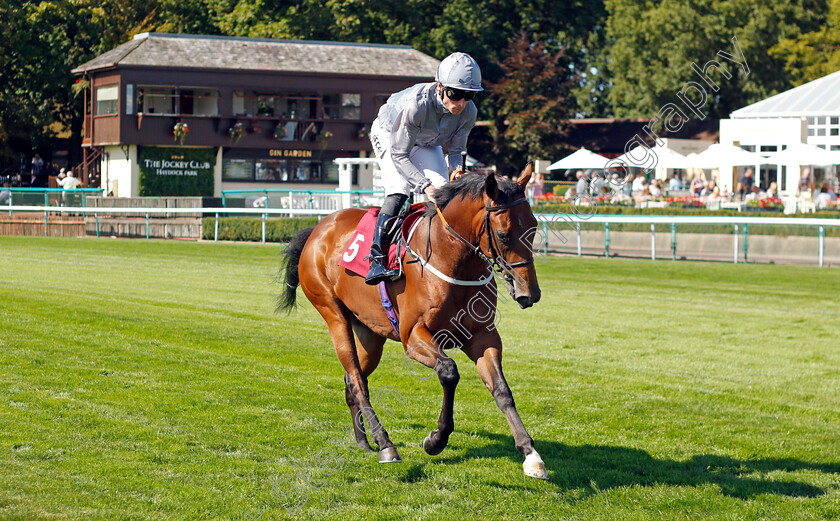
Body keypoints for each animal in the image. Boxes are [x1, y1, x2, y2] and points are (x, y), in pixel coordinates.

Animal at [278, 165, 548, 478]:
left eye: (534, 227)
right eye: (504, 235)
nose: (530, 293)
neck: (452, 259)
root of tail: (318, 229)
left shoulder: (483, 336)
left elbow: (502, 390)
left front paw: (530, 454)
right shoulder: (414, 337)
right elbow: (449, 371)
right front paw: (436, 440)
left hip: (371, 334)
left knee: (352, 379)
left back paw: (363, 442)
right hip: (333, 315)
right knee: (357, 382)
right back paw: (385, 444)